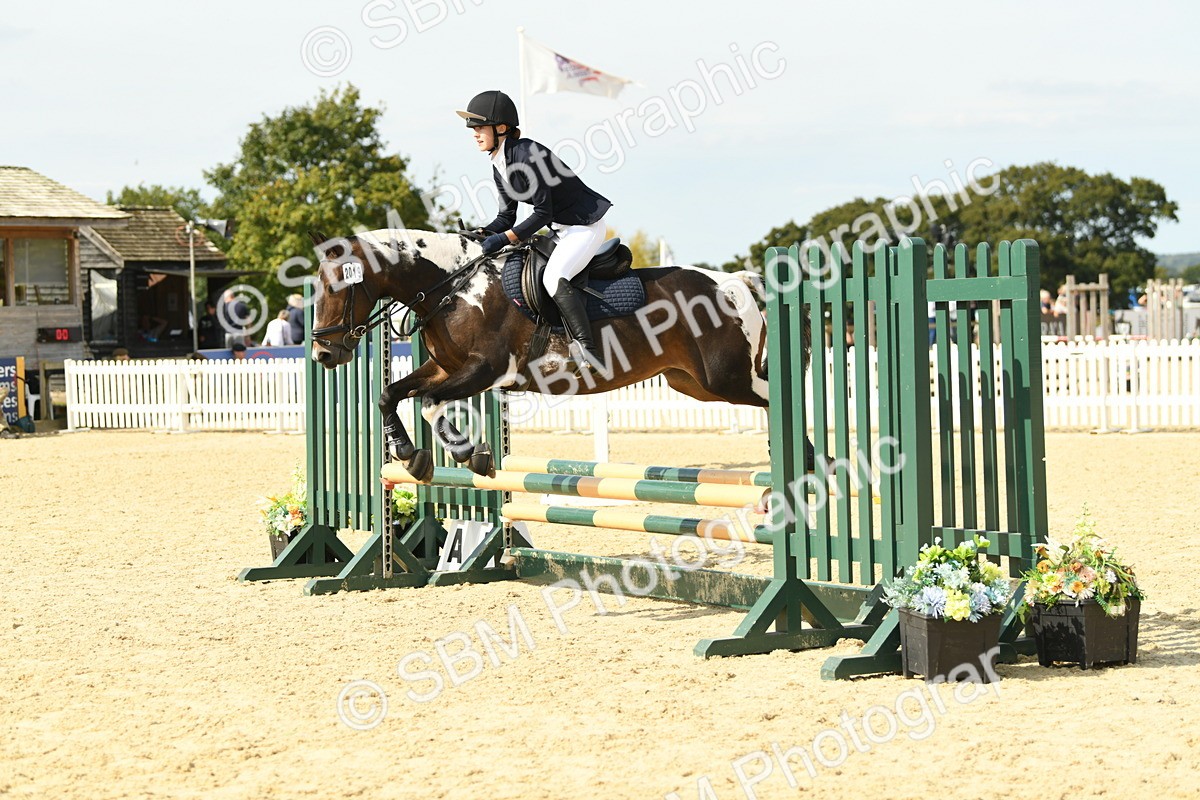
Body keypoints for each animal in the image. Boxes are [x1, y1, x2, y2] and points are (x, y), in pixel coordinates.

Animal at [309, 229, 808, 482]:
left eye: (337, 286)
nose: (321, 353)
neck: (454, 287)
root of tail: (732, 281)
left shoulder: (485, 371)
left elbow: (430, 404)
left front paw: (471, 454)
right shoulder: (446, 367)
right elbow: (389, 395)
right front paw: (408, 453)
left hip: (726, 378)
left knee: (778, 396)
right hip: (692, 383)